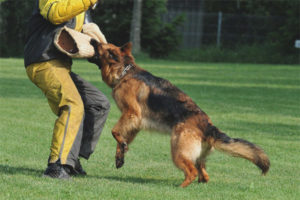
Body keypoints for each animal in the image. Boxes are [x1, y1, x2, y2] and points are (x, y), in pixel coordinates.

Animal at [89, 40, 270, 188]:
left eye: (102, 45)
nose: (91, 40)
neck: (125, 72)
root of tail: (208, 126)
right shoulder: (134, 123)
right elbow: (122, 140)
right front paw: (120, 155)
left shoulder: (131, 114)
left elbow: (114, 131)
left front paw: (121, 145)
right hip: (196, 157)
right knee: (204, 175)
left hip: (178, 151)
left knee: (192, 172)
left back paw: (180, 188)